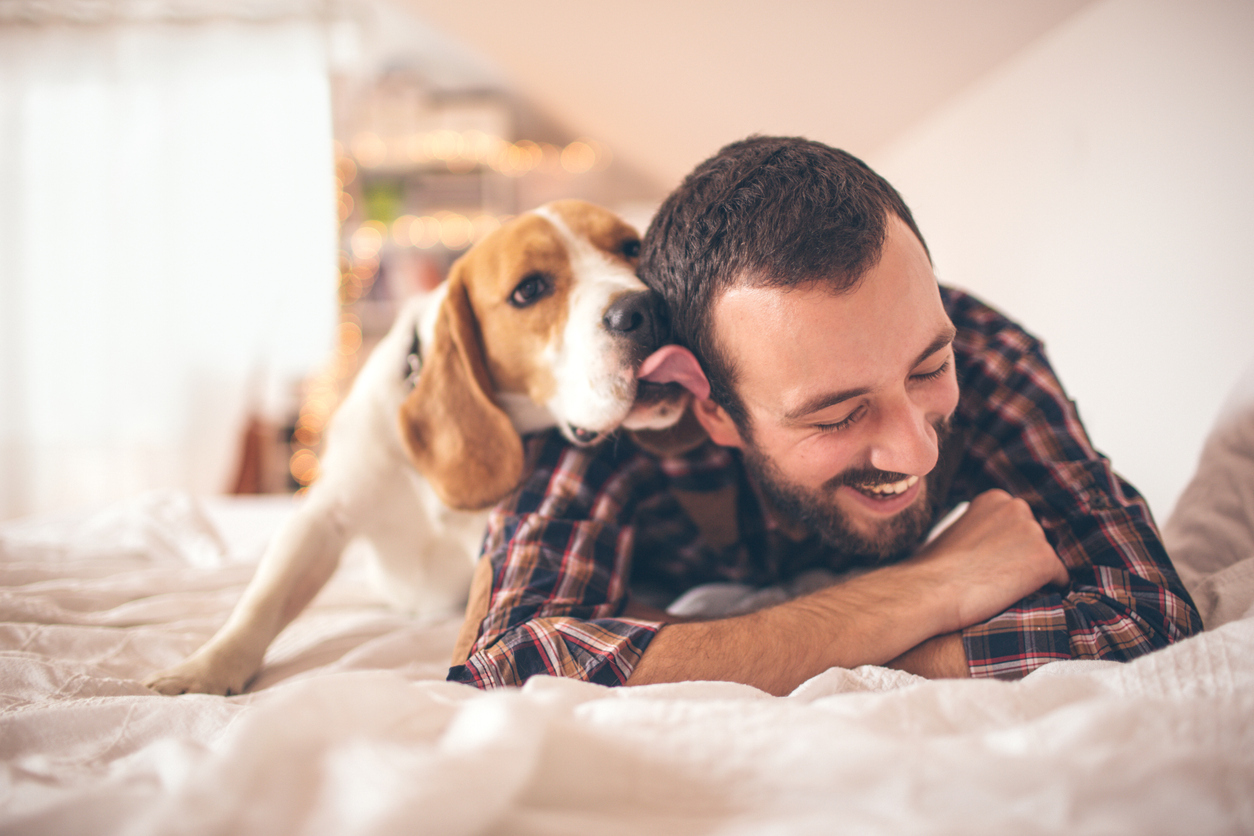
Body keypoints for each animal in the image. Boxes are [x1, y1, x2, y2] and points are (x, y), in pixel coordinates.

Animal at [149, 199, 697, 696]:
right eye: (530, 289)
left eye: (632, 248)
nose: (647, 308)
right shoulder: (323, 517)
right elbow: (264, 600)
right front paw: (205, 669)